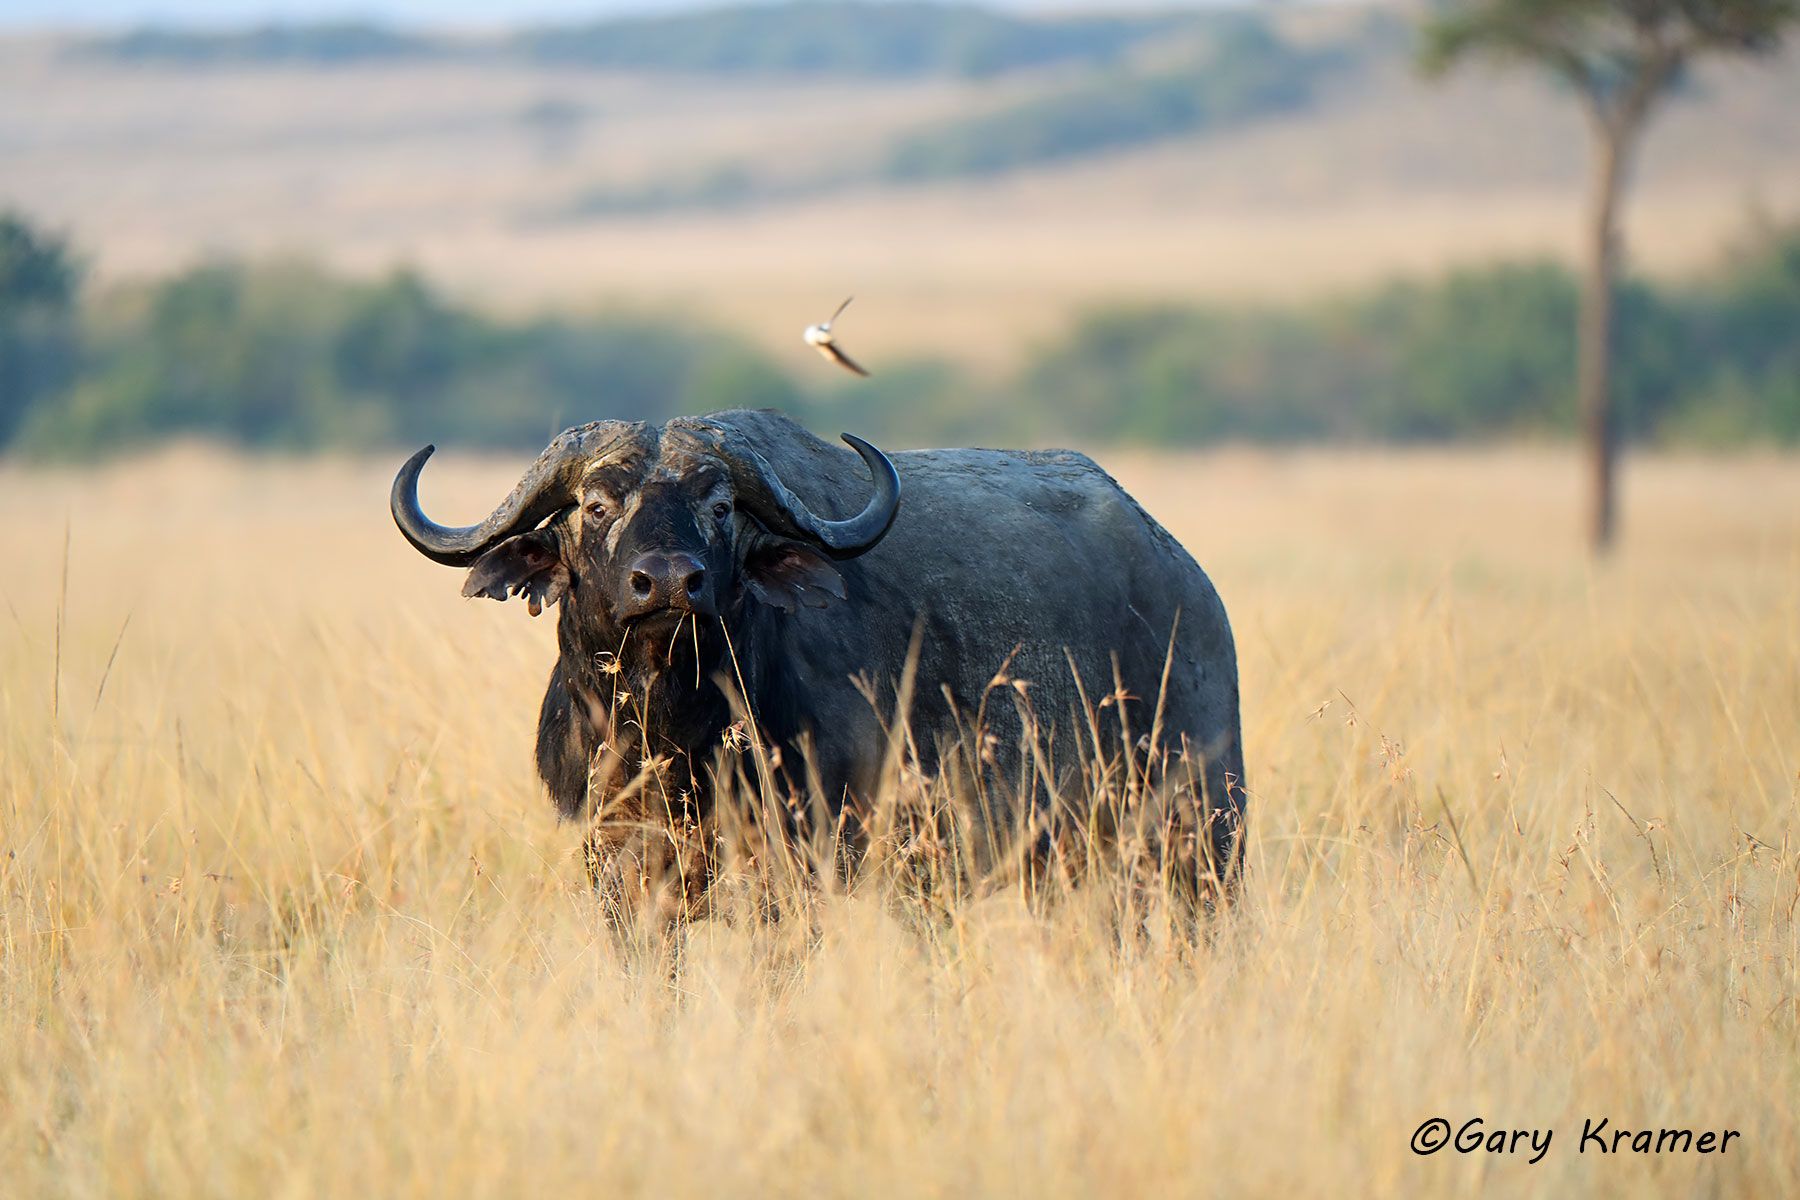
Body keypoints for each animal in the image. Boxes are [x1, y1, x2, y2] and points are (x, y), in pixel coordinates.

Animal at [391, 408, 1245, 896]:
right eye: (596, 506)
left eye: (722, 506)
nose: (667, 582)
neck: (673, 731)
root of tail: (1187, 578)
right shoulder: (624, 869)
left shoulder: (798, 865)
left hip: (1202, 836)